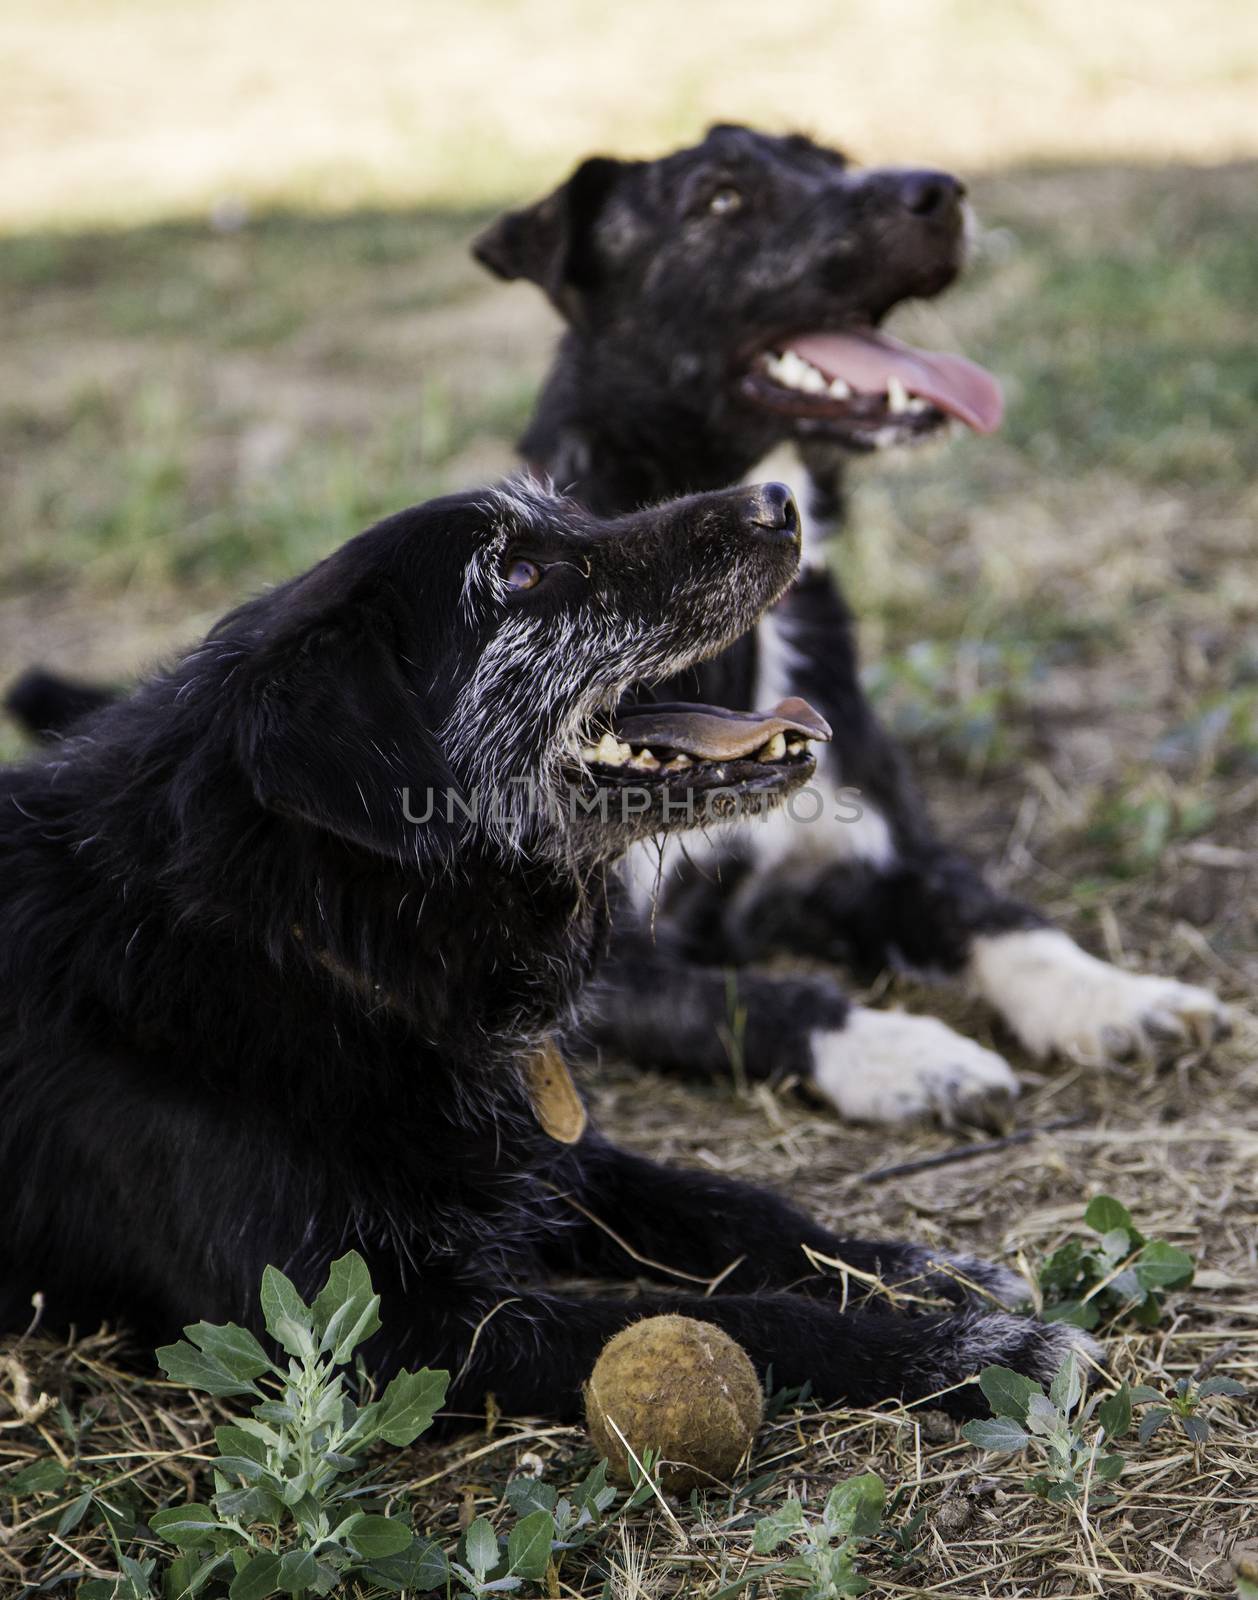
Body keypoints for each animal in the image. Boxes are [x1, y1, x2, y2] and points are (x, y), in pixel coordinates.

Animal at [0, 480, 1081, 1420]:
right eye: (517, 574)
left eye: (569, 511)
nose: (777, 500)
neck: (312, 943)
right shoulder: (388, 1334)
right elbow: (737, 1319)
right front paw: (971, 1353)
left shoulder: (541, 1162)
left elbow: (738, 1211)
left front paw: (920, 1272)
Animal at [470, 124, 1222, 1126]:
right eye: (719, 198)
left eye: (828, 158)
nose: (941, 191)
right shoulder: (607, 965)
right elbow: (770, 1000)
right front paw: (913, 1056)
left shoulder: (881, 859)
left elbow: (1005, 920)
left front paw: (1115, 997)